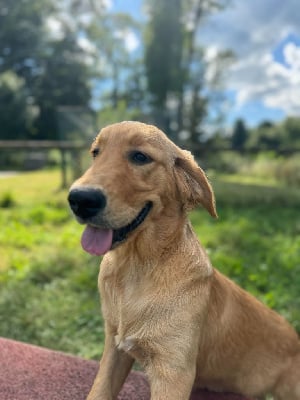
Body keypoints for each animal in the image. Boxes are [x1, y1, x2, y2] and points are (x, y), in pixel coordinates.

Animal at [68, 122, 300, 400]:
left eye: (140, 157)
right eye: (96, 152)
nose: (79, 199)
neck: (137, 267)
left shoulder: (173, 372)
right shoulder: (115, 348)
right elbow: (99, 390)